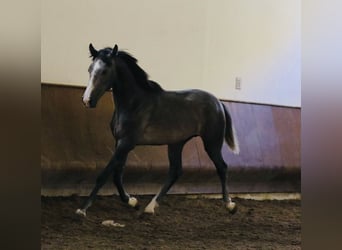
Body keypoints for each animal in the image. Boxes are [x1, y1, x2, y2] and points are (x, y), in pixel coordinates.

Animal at [76, 43, 239, 217]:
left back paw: (230, 205)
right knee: (175, 171)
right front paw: (132, 201)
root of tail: (219, 103)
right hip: (176, 143)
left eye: (105, 71)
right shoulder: (120, 143)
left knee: (222, 167)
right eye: (90, 69)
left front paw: (82, 209)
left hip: (211, 143)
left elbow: (104, 175)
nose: (87, 100)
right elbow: (117, 175)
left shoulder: (126, 143)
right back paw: (150, 206)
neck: (134, 104)